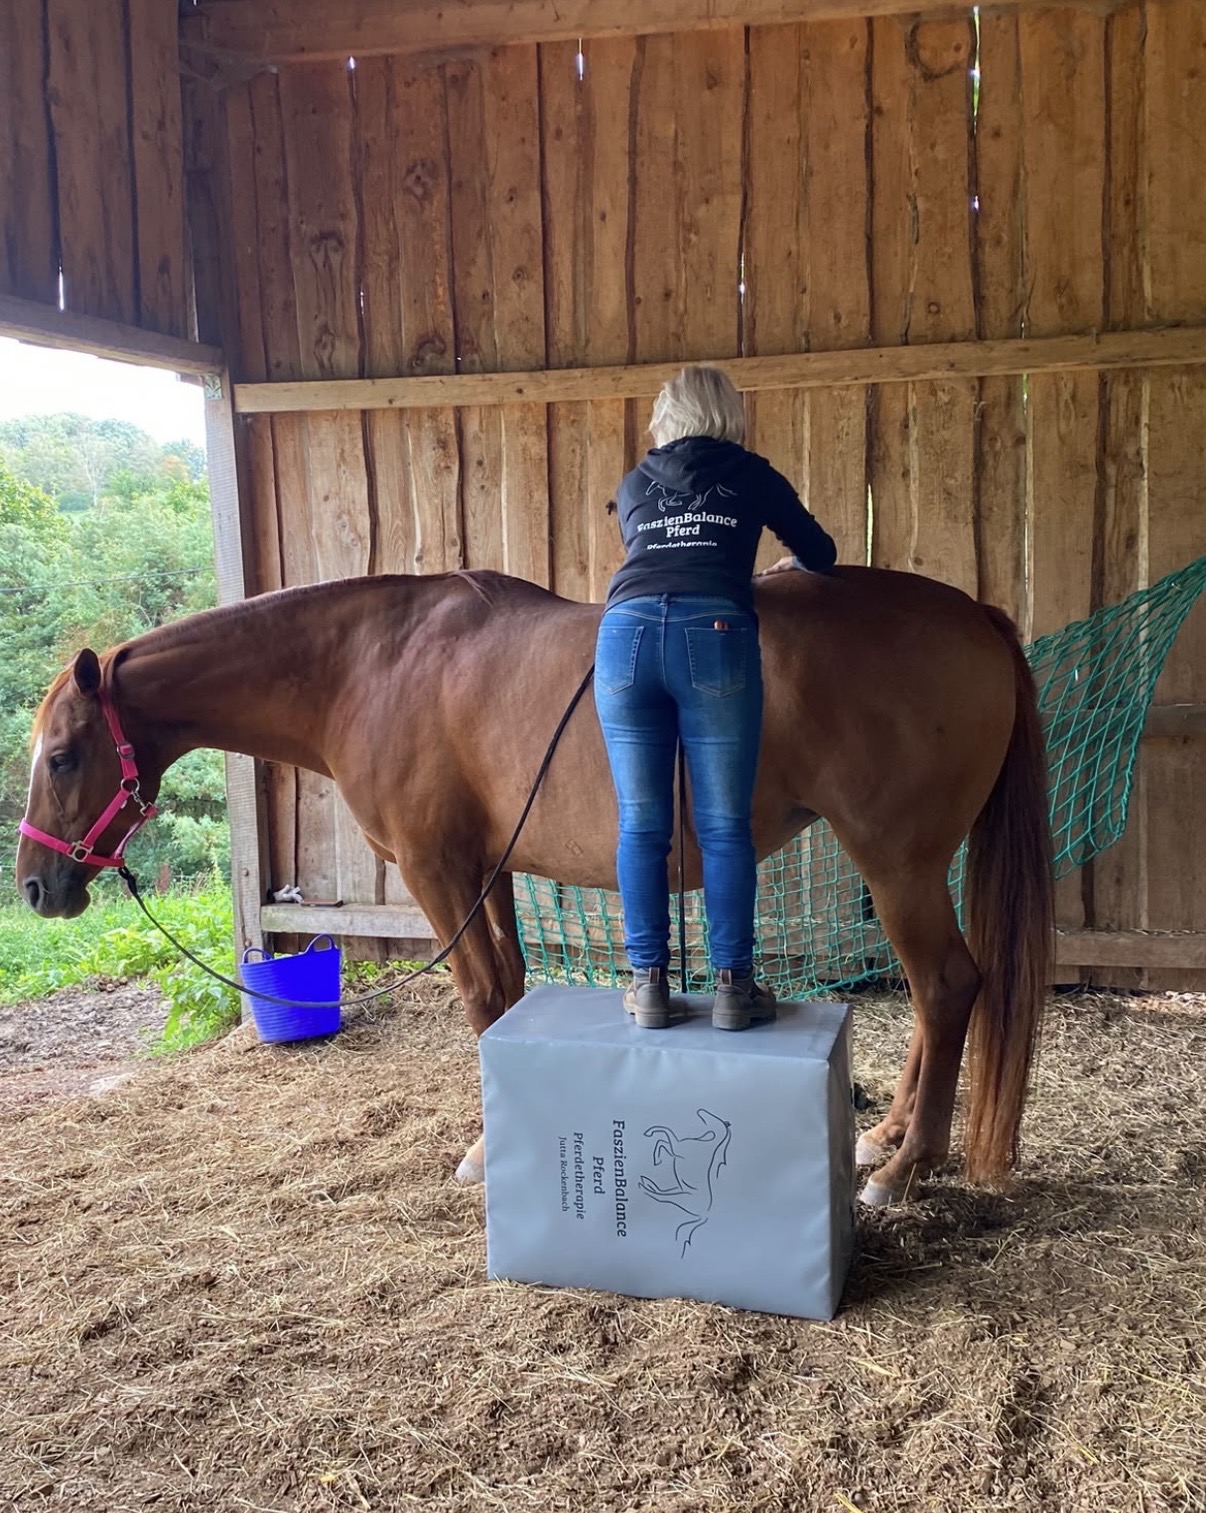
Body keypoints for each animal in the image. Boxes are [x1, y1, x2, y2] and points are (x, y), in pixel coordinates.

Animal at [16, 566, 1053, 1206]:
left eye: (61, 755)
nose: (34, 886)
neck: (373, 664)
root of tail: (979, 616)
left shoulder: (437, 869)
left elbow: (481, 996)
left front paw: (482, 1149)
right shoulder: (488, 869)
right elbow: (508, 991)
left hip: (896, 860)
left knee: (947, 987)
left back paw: (905, 1167)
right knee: (933, 995)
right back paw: (886, 1136)